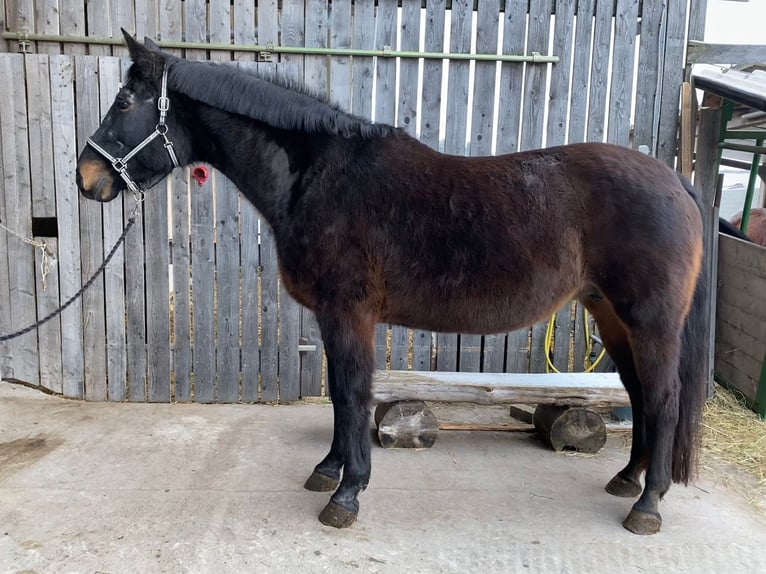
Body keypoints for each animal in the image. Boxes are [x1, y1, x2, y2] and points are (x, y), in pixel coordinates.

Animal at [75, 33, 712, 536]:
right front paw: (328, 470)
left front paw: (346, 493)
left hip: (650, 321)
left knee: (663, 398)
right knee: (639, 395)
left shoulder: (348, 313)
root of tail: (676, 182)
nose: (86, 176)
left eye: (125, 101)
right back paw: (627, 479)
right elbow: (339, 393)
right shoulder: (333, 318)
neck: (318, 177)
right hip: (612, 316)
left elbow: (354, 393)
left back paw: (648, 505)